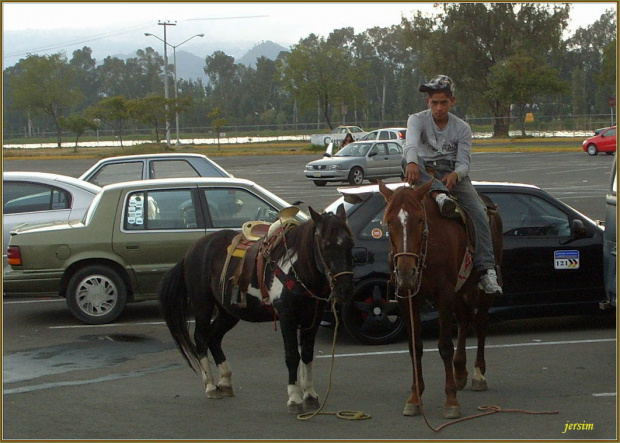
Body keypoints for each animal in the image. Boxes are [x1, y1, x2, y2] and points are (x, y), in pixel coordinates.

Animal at [378, 180, 504, 420]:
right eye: (389, 222)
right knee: (464, 320)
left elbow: (445, 346)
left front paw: (451, 401)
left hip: (481, 288)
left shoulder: (444, 295)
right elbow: (415, 347)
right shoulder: (408, 299)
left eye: (420, 220)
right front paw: (415, 398)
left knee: (481, 324)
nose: (406, 272)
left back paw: (477, 374)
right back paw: (460, 370)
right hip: (459, 290)